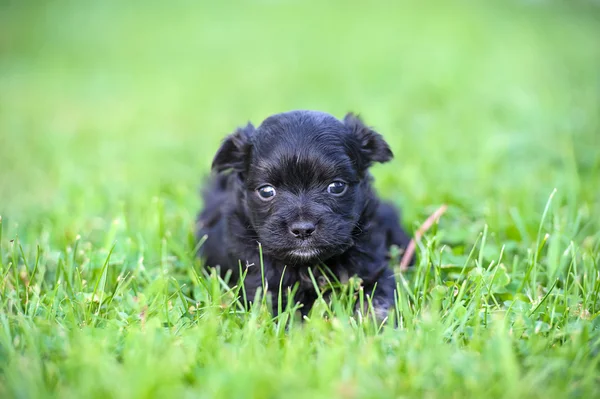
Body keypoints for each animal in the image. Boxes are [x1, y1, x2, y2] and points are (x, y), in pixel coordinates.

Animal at [197, 110, 412, 318]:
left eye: (337, 186)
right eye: (266, 191)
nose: (302, 229)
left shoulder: (371, 268)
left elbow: (377, 299)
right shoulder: (263, 283)